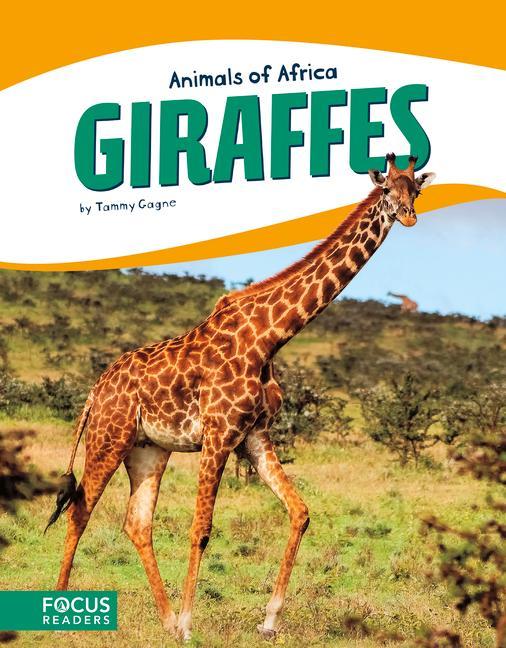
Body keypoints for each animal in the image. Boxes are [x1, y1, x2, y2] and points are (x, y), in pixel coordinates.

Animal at [47, 153, 435, 641]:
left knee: (137, 523)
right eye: (386, 189)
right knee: (80, 510)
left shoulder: (254, 435)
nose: (409, 216)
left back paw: (165, 619)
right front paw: (190, 626)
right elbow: (201, 527)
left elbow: (300, 512)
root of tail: (95, 389)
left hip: (148, 448)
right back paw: (68, 613)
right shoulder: (219, 433)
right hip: (108, 436)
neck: (271, 336)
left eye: (415, 189)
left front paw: (267, 622)